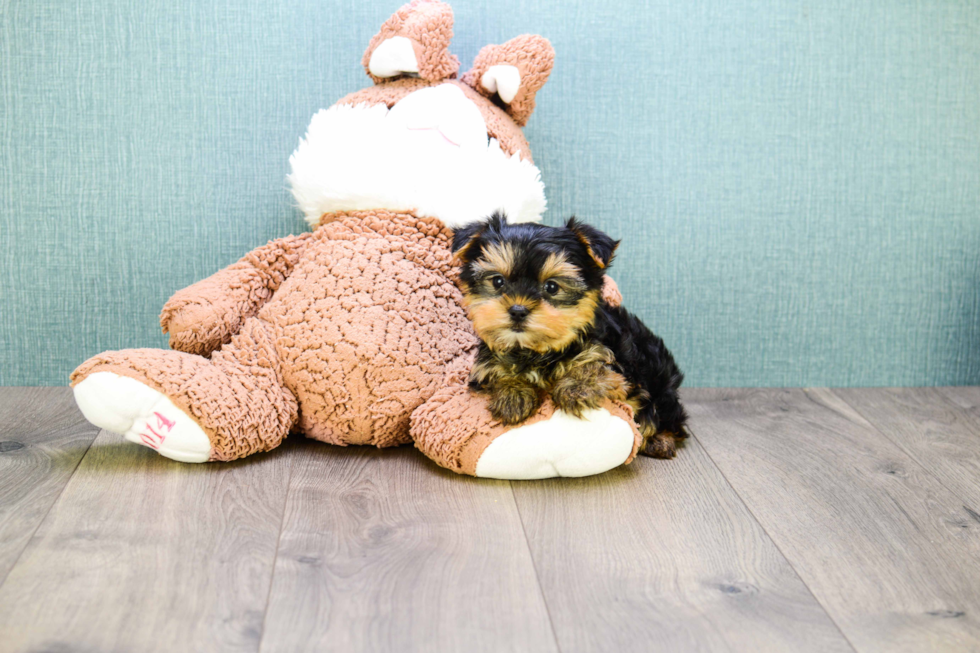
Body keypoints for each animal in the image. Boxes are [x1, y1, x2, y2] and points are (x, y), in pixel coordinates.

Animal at [454, 211, 688, 456]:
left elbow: (596, 365)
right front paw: (512, 393)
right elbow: (499, 370)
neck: (535, 350)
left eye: (552, 287)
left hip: (660, 385)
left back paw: (661, 440)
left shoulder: (624, 376)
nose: (518, 310)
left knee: (671, 420)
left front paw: (577, 386)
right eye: (498, 281)